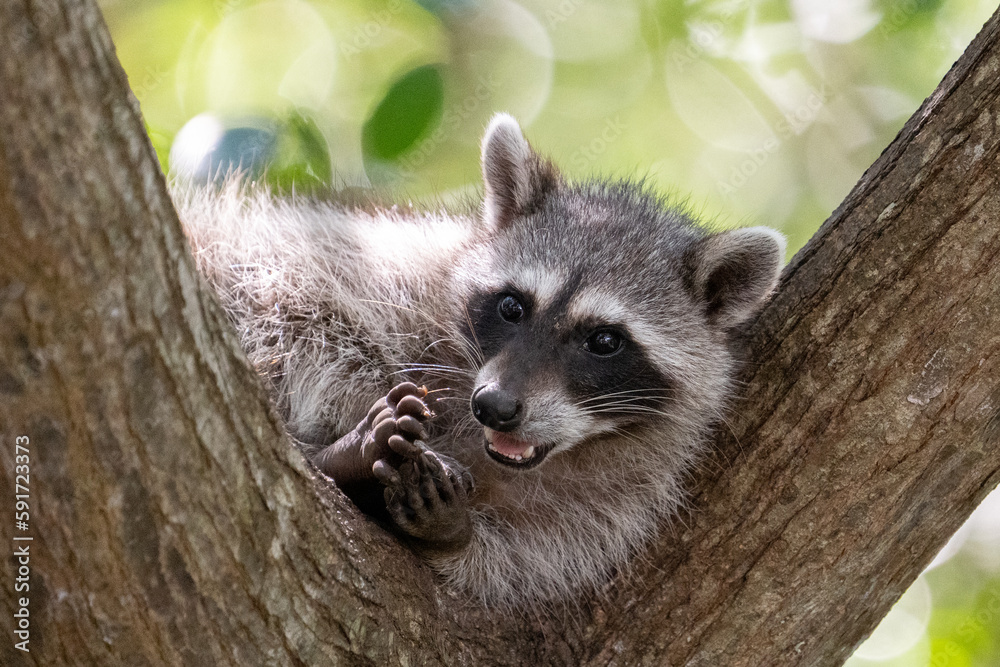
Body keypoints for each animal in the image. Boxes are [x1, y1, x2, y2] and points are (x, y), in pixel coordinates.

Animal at [177, 113, 785, 610]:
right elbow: (311, 302)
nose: (494, 406)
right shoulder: (384, 268)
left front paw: (456, 535)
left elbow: (533, 563)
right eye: (513, 306)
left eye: (605, 341)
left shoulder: (632, 496)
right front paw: (359, 428)